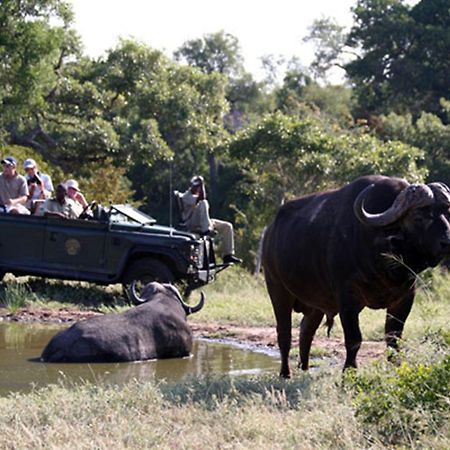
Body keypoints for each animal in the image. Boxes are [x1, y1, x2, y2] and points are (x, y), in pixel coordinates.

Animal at [262, 174, 450, 378]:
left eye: (447, 213)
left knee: (306, 331)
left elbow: (393, 337)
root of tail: (270, 233)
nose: (447, 241)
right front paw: (348, 373)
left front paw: (397, 367)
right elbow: (354, 339)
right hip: (278, 290)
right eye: (419, 217)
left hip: (316, 304)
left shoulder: (405, 297)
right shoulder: (347, 299)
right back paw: (285, 373)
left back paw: (304, 368)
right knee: (284, 333)